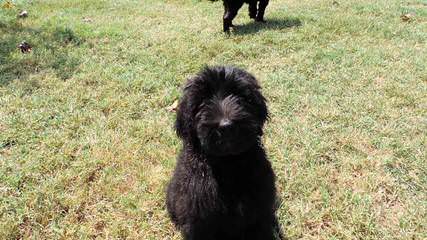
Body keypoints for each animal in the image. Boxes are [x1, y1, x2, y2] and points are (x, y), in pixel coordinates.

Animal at [168, 66, 284, 240]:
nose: (226, 126)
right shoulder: (199, 220)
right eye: (203, 101)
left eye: (240, 96)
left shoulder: (259, 212)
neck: (228, 164)